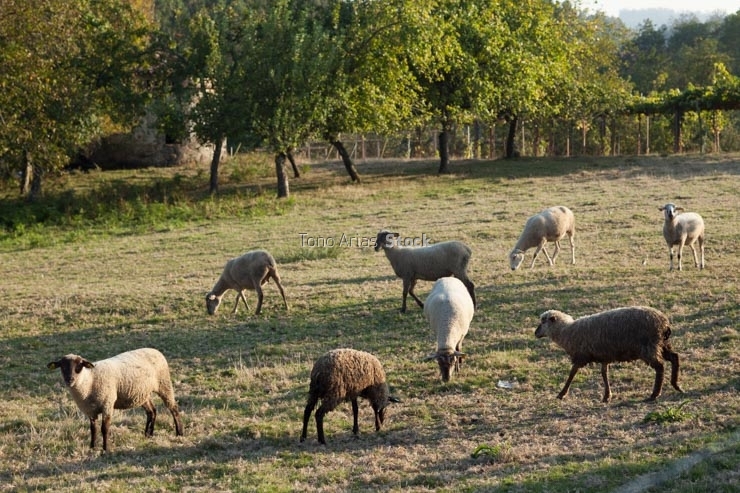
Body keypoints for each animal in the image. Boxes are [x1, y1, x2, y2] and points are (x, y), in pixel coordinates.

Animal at [47, 347, 184, 451]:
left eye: (79, 365)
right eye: (62, 366)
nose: (69, 379)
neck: (89, 380)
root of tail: (155, 350)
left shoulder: (107, 404)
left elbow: (104, 428)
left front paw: (105, 449)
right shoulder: (90, 410)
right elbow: (93, 429)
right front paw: (92, 447)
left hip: (164, 384)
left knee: (173, 408)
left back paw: (179, 433)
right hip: (142, 394)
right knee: (152, 411)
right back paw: (148, 434)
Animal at [534, 306, 683, 403]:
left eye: (543, 321)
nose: (535, 333)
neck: (567, 331)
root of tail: (664, 323)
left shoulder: (581, 356)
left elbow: (572, 373)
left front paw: (561, 394)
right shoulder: (604, 355)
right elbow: (604, 373)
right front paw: (607, 396)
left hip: (649, 347)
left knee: (660, 367)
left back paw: (654, 394)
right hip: (661, 344)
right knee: (674, 357)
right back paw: (676, 385)